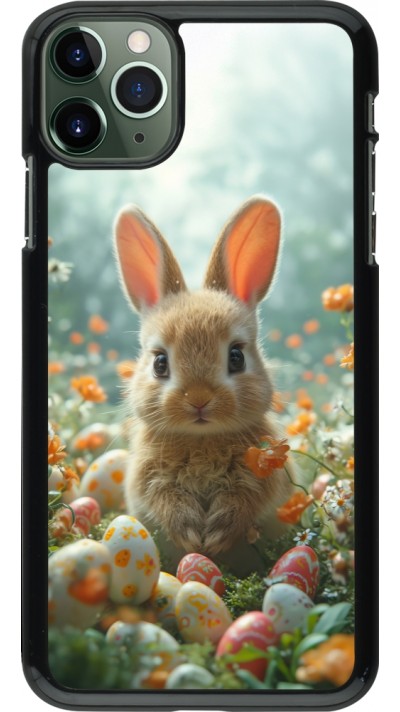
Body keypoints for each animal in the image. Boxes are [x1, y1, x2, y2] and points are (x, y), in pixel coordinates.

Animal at [114, 196, 294, 567]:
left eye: (237, 357)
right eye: (160, 363)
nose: (198, 399)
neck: (201, 439)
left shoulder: (263, 475)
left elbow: (245, 499)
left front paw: (217, 535)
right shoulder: (148, 478)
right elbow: (164, 499)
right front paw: (190, 534)